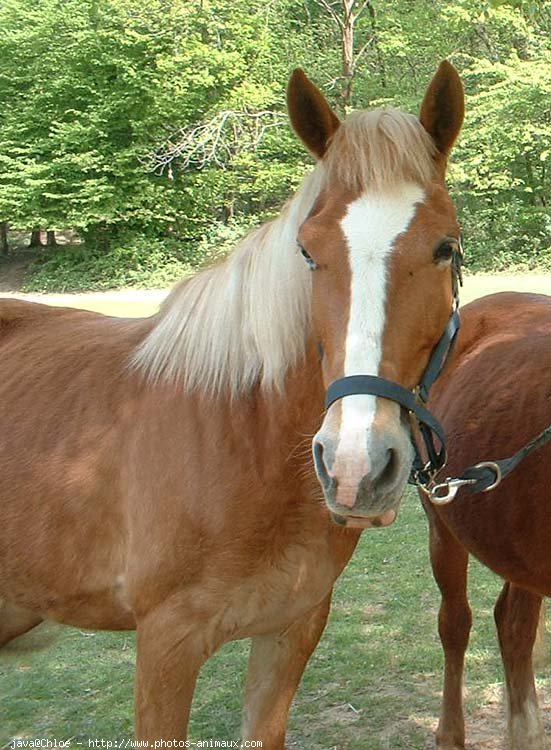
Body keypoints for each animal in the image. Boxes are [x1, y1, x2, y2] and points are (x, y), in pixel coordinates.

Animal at [2, 64, 464, 748]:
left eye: (445, 248)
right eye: (308, 251)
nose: (354, 465)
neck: (244, 437)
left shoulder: (291, 630)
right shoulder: (165, 647)